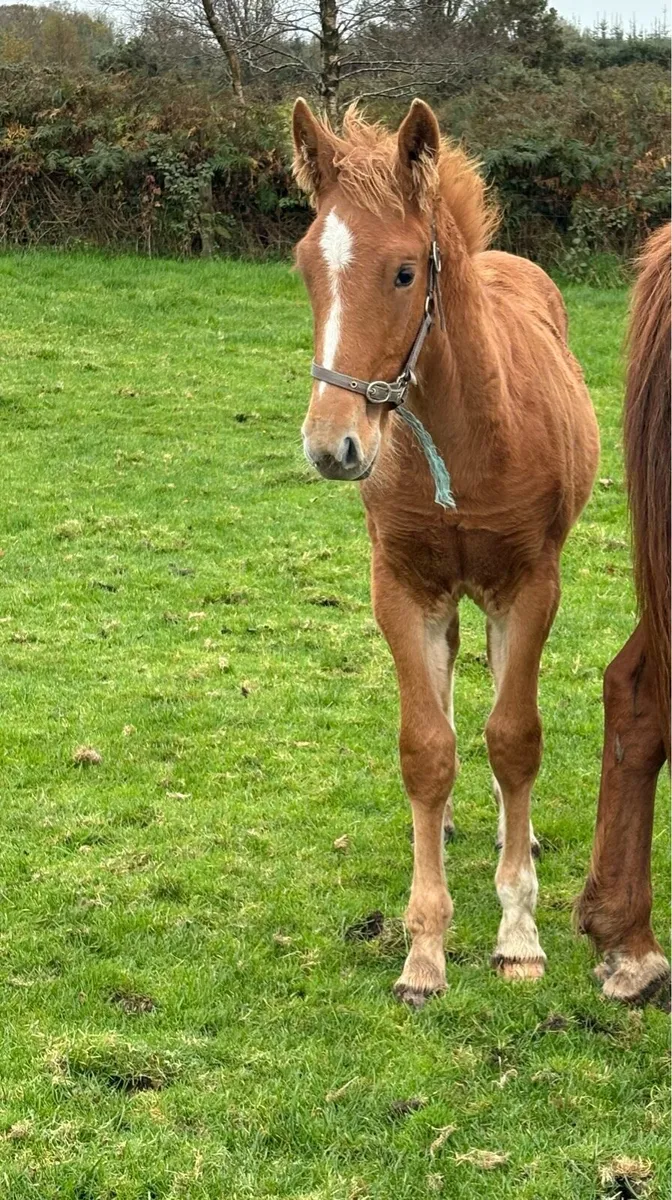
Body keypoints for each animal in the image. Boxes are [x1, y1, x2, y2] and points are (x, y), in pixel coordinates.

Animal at [291, 97, 599, 1007]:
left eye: (403, 273)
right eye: (305, 268)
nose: (333, 446)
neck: (466, 434)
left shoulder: (531, 586)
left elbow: (516, 736)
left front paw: (519, 936)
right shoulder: (401, 588)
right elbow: (427, 750)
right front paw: (424, 950)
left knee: (498, 695)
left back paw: (509, 831)